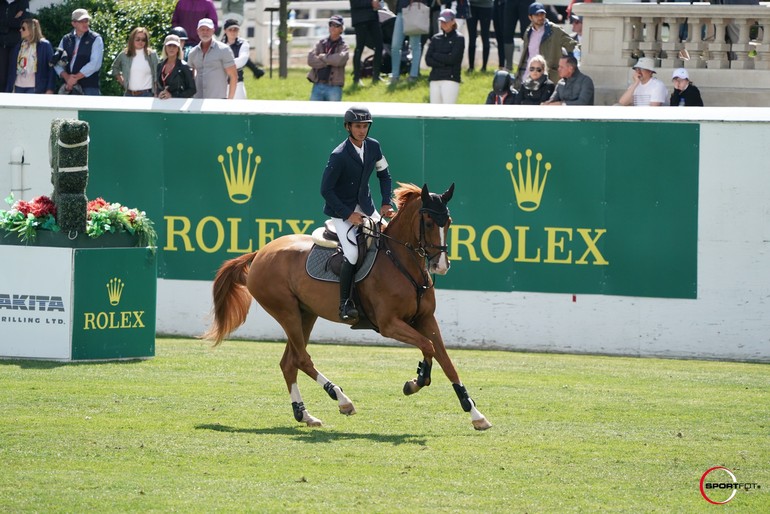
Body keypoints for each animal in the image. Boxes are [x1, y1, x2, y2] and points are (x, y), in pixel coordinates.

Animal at [202, 182, 492, 430]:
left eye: (449, 222)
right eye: (429, 222)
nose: (440, 265)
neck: (403, 263)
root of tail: (260, 252)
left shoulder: (426, 320)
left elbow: (445, 359)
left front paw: (475, 413)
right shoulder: (389, 324)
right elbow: (428, 347)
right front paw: (416, 381)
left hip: (305, 314)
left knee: (289, 362)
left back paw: (305, 415)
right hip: (286, 312)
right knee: (302, 359)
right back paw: (342, 399)